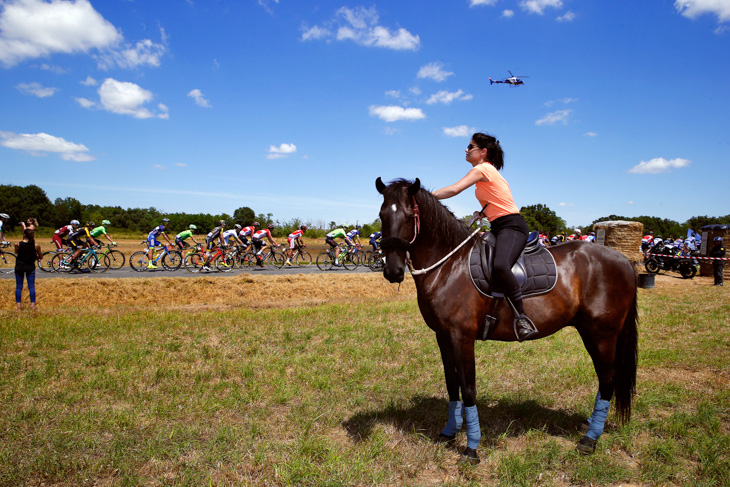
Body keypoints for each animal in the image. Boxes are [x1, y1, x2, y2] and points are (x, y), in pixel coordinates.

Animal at [376, 179, 636, 466]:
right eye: (382, 215)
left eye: (409, 216)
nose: (392, 271)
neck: (449, 266)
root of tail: (623, 259)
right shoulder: (442, 336)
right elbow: (452, 386)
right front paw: (449, 433)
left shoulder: (462, 337)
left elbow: (468, 389)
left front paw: (472, 447)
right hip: (591, 332)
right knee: (606, 378)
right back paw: (591, 425)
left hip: (603, 334)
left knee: (608, 378)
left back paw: (590, 439)